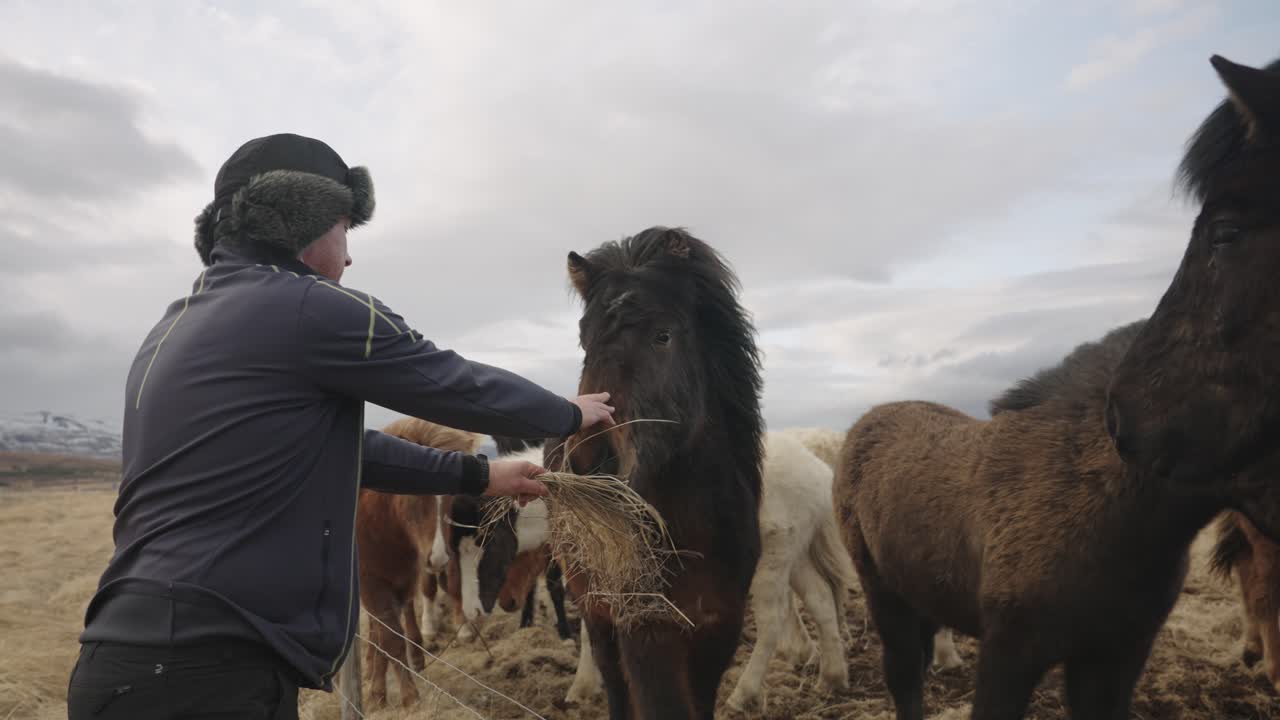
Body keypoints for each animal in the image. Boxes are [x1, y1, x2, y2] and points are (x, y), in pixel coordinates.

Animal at [355, 417, 484, 708]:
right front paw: (404, 695)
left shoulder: (404, 578)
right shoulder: (370, 583)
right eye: (412, 492)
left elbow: (391, 634)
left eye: (452, 495)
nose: (437, 557)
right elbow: (389, 637)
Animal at [546, 226, 765, 719]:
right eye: (585, 341)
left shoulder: (719, 633)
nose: (586, 463)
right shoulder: (647, 632)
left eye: (662, 336)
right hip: (595, 611)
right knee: (613, 682)